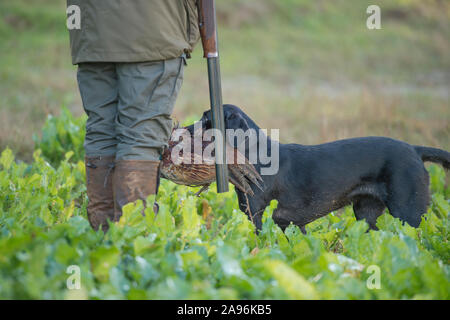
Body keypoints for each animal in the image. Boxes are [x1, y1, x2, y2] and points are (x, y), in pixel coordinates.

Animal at [191, 105, 450, 232]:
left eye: (205, 119)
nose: (186, 129)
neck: (254, 153)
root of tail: (415, 149)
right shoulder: (287, 222)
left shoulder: (254, 212)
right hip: (366, 213)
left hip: (409, 212)